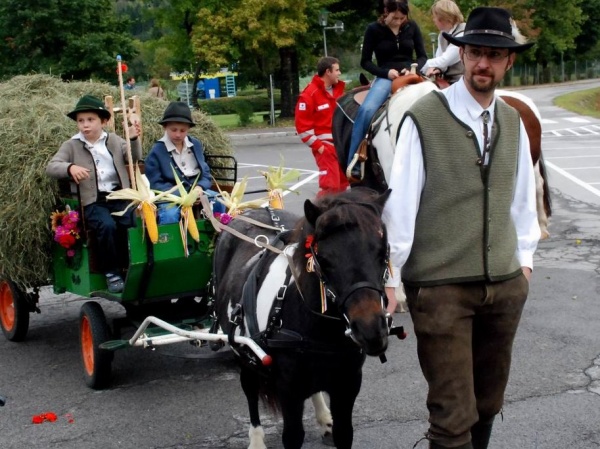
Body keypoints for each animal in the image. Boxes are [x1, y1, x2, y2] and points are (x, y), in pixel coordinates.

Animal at [213, 187, 396, 446]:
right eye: (324, 260)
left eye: (383, 252)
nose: (370, 329)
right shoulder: (288, 391)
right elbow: (292, 435)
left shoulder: (347, 385)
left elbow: (343, 433)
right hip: (242, 352)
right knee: (250, 390)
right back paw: (256, 439)